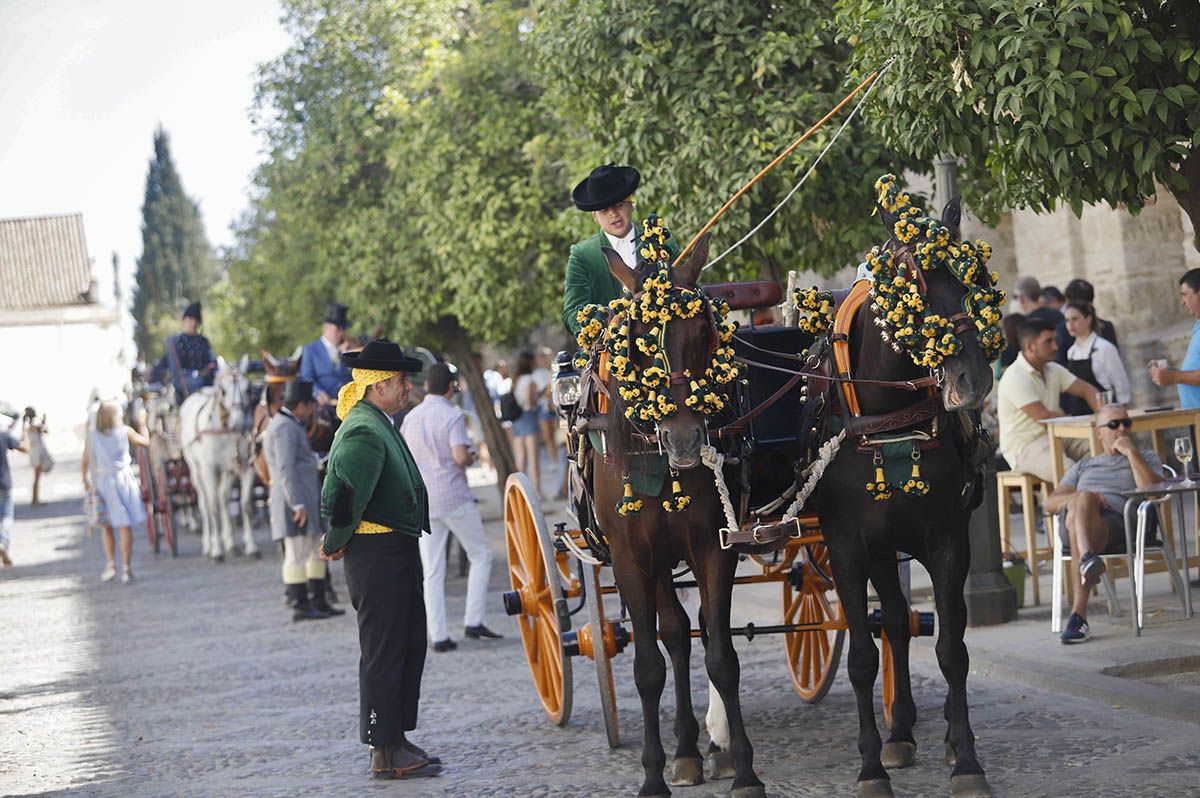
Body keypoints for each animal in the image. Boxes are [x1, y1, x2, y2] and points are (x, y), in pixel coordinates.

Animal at [178, 360, 259, 559]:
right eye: (223, 390)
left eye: (248, 389)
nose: (239, 424)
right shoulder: (209, 469)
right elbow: (212, 505)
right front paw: (217, 550)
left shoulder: (247, 467)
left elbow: (246, 505)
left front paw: (251, 546)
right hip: (196, 471)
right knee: (205, 504)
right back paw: (209, 544)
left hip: (227, 470)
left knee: (224, 500)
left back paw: (230, 543)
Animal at [588, 237, 758, 796]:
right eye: (639, 339)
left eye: (704, 330)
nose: (684, 438)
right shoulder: (630, 560)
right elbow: (647, 668)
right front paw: (652, 777)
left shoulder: (713, 547)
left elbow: (722, 658)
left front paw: (745, 769)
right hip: (656, 562)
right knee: (675, 637)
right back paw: (683, 753)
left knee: (690, 633)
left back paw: (701, 749)